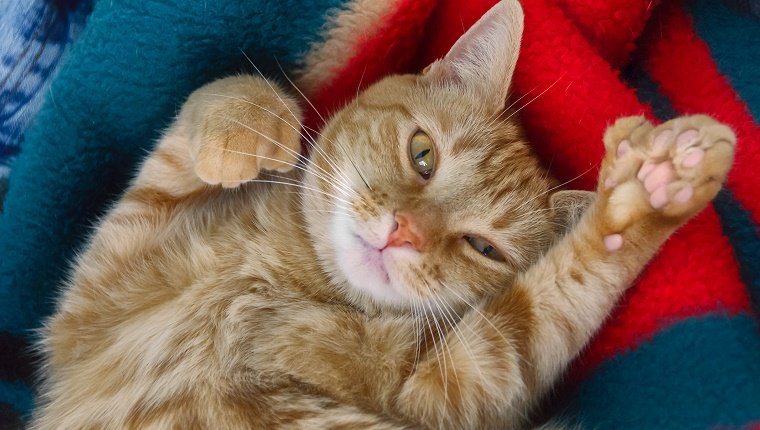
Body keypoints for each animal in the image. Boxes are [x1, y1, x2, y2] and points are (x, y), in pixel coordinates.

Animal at [31, 1, 736, 428]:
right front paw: (251, 126)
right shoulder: (91, 304)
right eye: (423, 155)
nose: (404, 233)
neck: (289, 279)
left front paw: (649, 192)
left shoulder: (453, 390)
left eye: (485, 249)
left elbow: (543, 307)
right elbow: (222, 102)